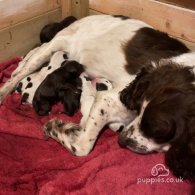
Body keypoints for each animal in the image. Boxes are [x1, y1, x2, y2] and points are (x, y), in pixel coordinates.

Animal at [0, 14, 195, 180]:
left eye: (156, 130)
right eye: (138, 108)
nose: (121, 140)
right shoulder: (108, 99)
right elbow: (82, 146)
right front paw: (56, 127)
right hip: (53, 47)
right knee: (16, 74)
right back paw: (4, 91)